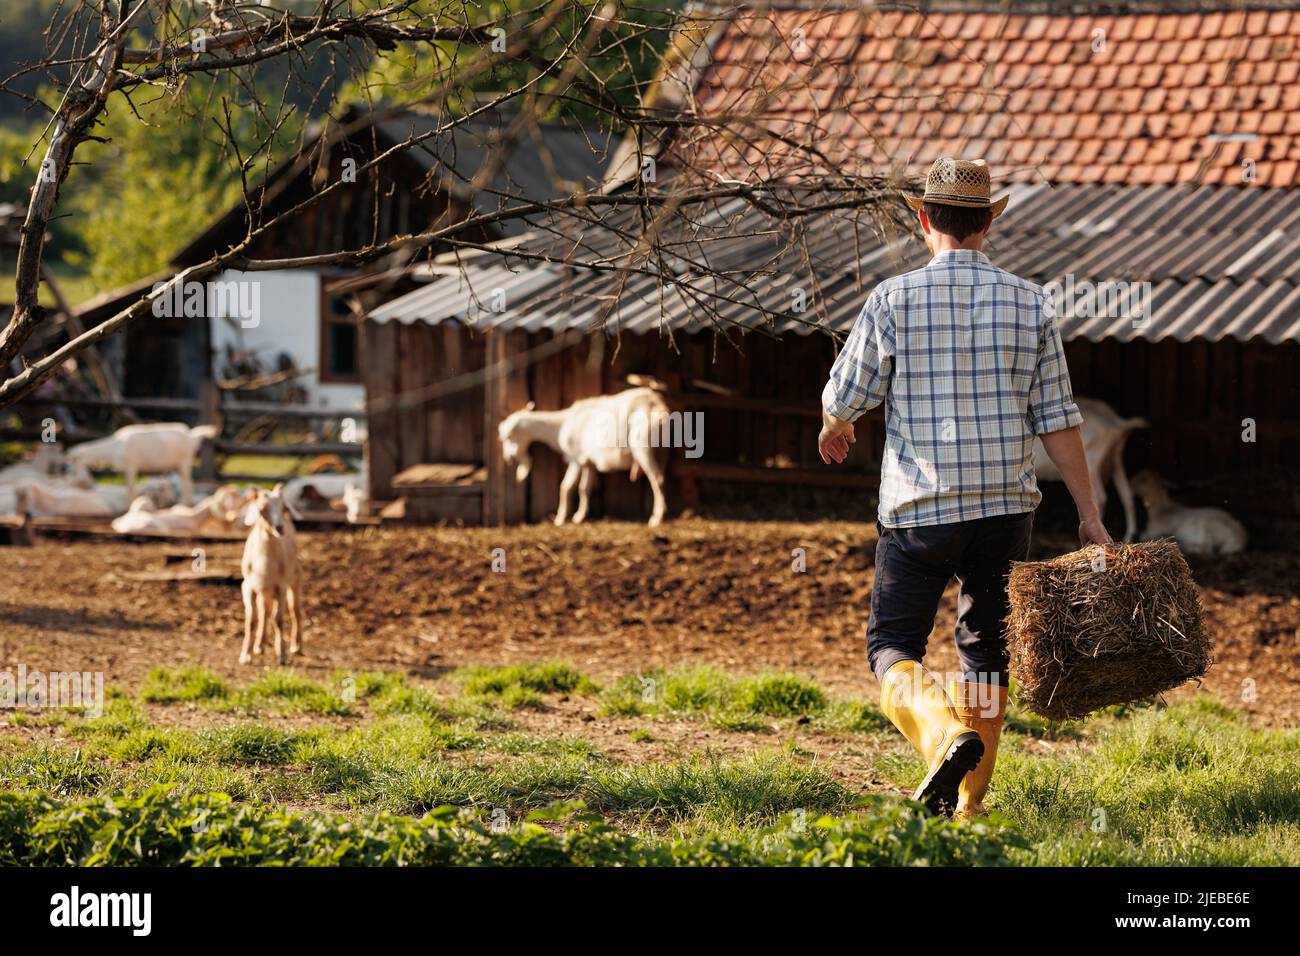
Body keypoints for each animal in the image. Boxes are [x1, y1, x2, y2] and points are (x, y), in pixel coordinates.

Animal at [66, 421, 219, 504]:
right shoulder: (126, 470)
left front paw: (128, 509)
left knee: (188, 485)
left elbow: (130, 489)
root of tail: (192, 436)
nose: (86, 486)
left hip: (184, 462)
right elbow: (128, 489)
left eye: (70, 469)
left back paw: (183, 505)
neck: (115, 447)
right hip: (177, 465)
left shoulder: (131, 466)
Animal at [237, 486, 300, 665]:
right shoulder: (247, 586)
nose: (280, 528)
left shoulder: (281, 586)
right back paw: (260, 646)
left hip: (295, 578)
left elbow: (277, 619)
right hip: (263, 591)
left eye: (284, 507)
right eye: (261, 509)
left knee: (294, 610)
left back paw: (296, 646)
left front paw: (282, 656)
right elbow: (252, 619)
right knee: (264, 611)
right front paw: (245, 655)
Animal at [496, 385, 670, 528]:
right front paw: (579, 517)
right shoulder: (588, 462)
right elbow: (584, 488)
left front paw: (560, 519)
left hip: (642, 445)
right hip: (662, 450)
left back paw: (656, 519)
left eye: (508, 437)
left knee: (657, 479)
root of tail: (658, 405)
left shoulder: (575, 459)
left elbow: (565, 486)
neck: (561, 424)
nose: (508, 459)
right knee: (660, 477)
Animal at [1034, 398, 1149, 546]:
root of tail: (1115, 422)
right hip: (1115, 457)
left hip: (1092, 461)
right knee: (1127, 495)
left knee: (1100, 497)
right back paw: (1129, 536)